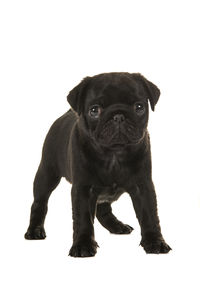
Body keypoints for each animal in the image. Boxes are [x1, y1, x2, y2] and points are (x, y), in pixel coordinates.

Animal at [24, 72, 172, 255]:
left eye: (139, 107)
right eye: (94, 110)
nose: (118, 116)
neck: (114, 154)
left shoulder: (143, 186)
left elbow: (149, 215)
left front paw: (155, 241)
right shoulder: (83, 189)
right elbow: (83, 218)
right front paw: (83, 245)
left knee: (103, 209)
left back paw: (117, 226)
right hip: (47, 173)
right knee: (39, 202)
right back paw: (34, 230)